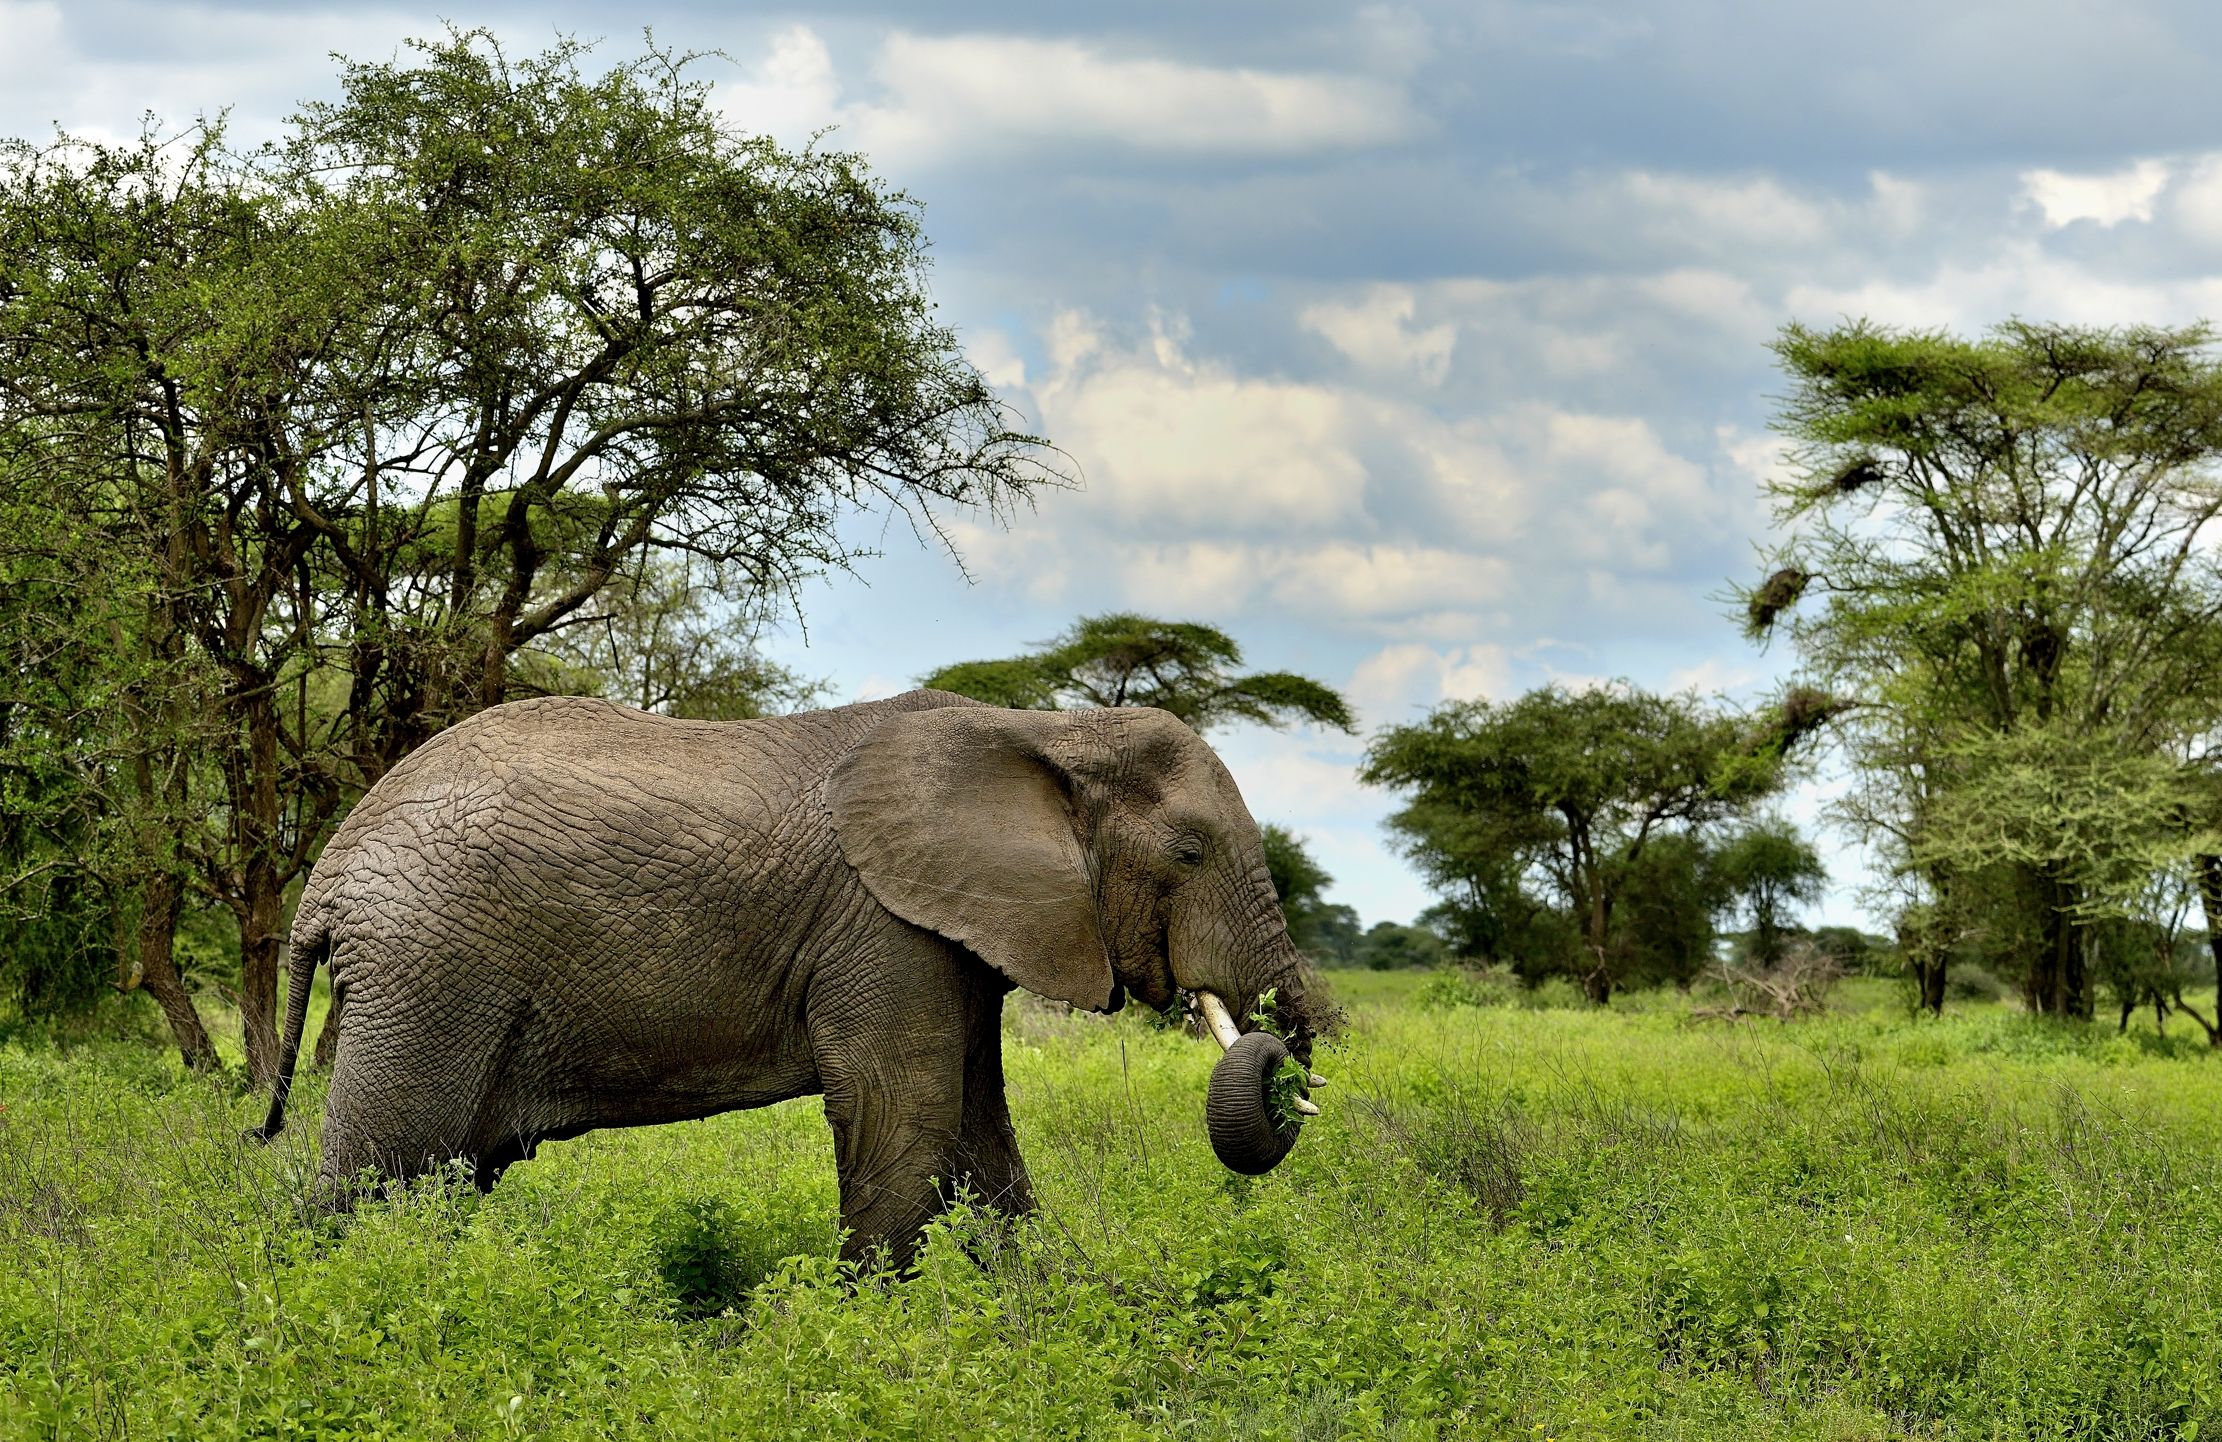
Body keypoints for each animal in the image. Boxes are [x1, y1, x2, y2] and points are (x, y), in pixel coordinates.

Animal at [259, 684, 1333, 1262]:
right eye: (1191, 853)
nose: (1287, 1072)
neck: (1046, 727)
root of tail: (329, 877)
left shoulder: (945, 932)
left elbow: (980, 1133)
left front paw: (1046, 1323)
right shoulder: (883, 923)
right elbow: (906, 1114)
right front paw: (868, 1341)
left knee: (439, 1178)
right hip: (429, 969)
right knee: (377, 1170)